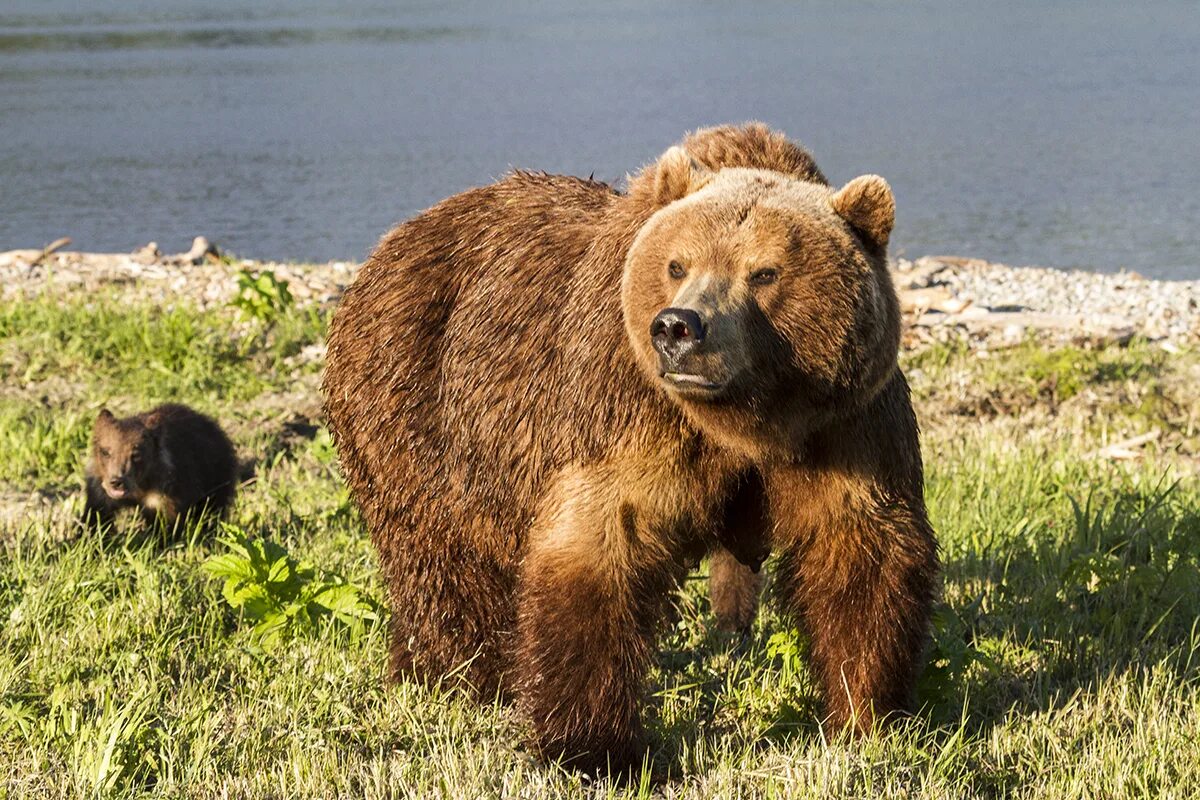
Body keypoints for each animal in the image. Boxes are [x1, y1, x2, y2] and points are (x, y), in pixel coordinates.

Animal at [324, 123, 940, 767]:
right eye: (677, 263)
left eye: (764, 273)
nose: (678, 327)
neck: (745, 421)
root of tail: (391, 244)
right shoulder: (629, 410)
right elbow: (602, 545)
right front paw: (591, 747)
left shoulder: (844, 427)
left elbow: (861, 557)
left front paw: (865, 715)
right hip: (415, 404)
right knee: (445, 564)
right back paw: (460, 676)